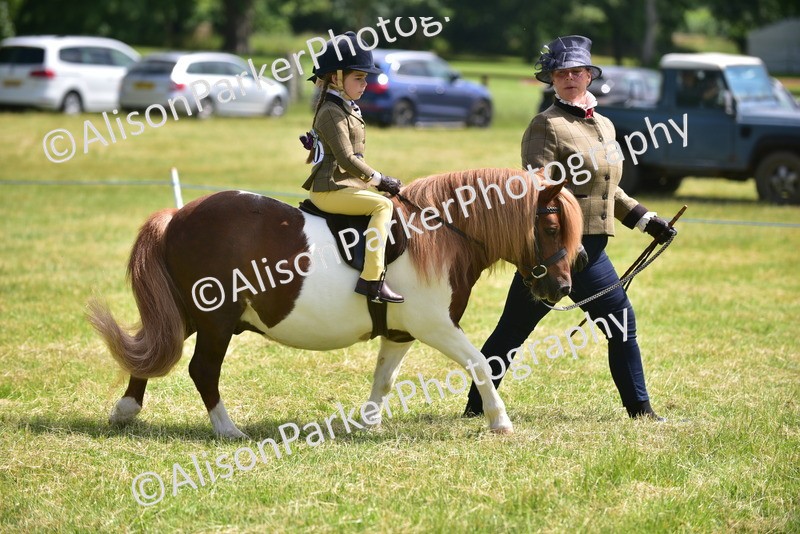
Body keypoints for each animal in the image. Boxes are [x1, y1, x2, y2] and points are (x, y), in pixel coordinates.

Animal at [88, 168, 583, 438]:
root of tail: (178, 216)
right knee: (202, 370)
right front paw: (500, 421)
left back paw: (126, 410)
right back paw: (227, 429)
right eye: (551, 227)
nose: (561, 288)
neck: (441, 232)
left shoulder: (401, 333)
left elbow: (384, 378)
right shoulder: (436, 328)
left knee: (152, 350)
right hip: (215, 321)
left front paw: (368, 422)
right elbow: (480, 362)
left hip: (191, 313)